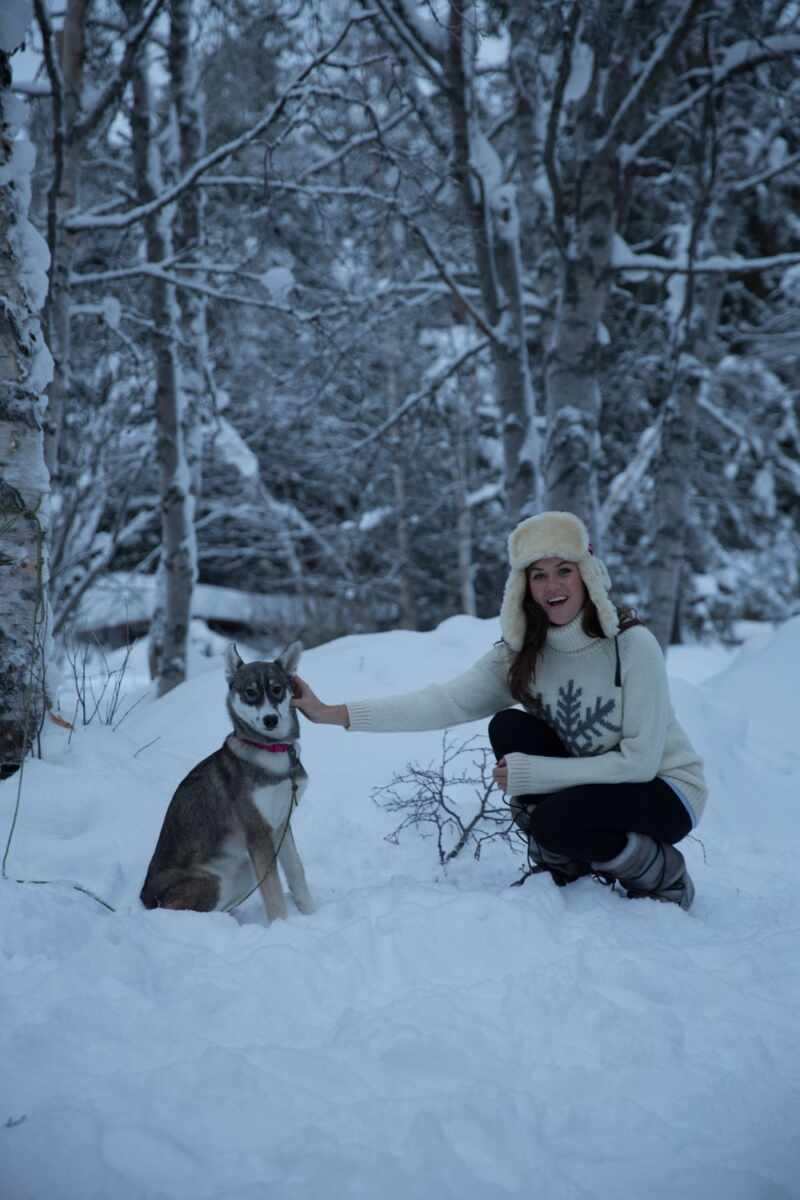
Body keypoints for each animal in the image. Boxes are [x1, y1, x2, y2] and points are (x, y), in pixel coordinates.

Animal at [139, 643, 314, 921]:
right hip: (213, 881)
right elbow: (273, 892)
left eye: (277, 689)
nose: (270, 720)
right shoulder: (258, 833)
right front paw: (282, 925)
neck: (273, 753)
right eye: (250, 692)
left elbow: (296, 872)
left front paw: (310, 913)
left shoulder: (280, 825)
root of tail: (144, 899)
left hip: (243, 871)